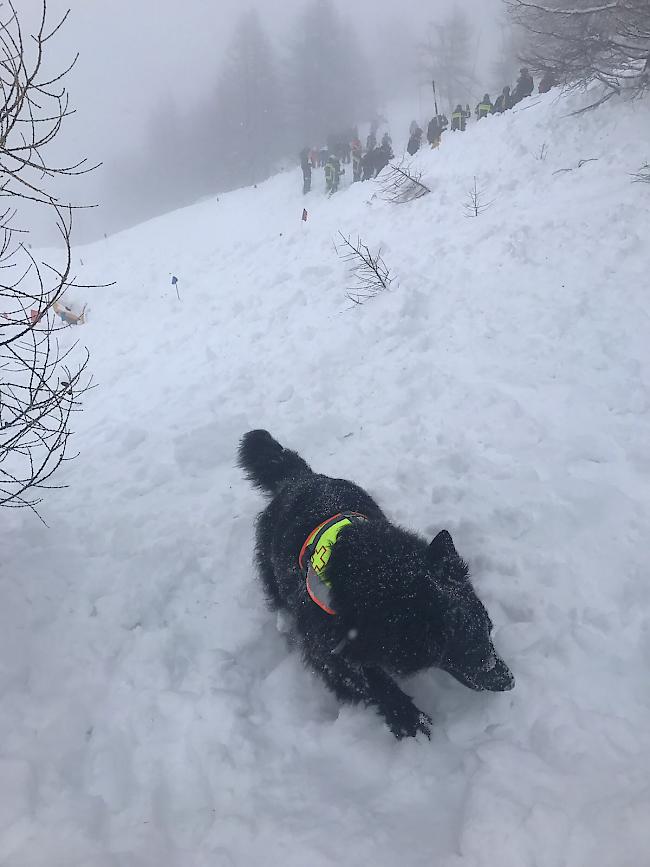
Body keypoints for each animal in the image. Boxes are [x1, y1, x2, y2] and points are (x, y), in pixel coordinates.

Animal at [238, 430, 512, 736]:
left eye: (489, 630)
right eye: (469, 648)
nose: (510, 680)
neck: (383, 576)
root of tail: (301, 478)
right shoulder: (325, 647)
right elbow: (371, 679)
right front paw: (407, 717)